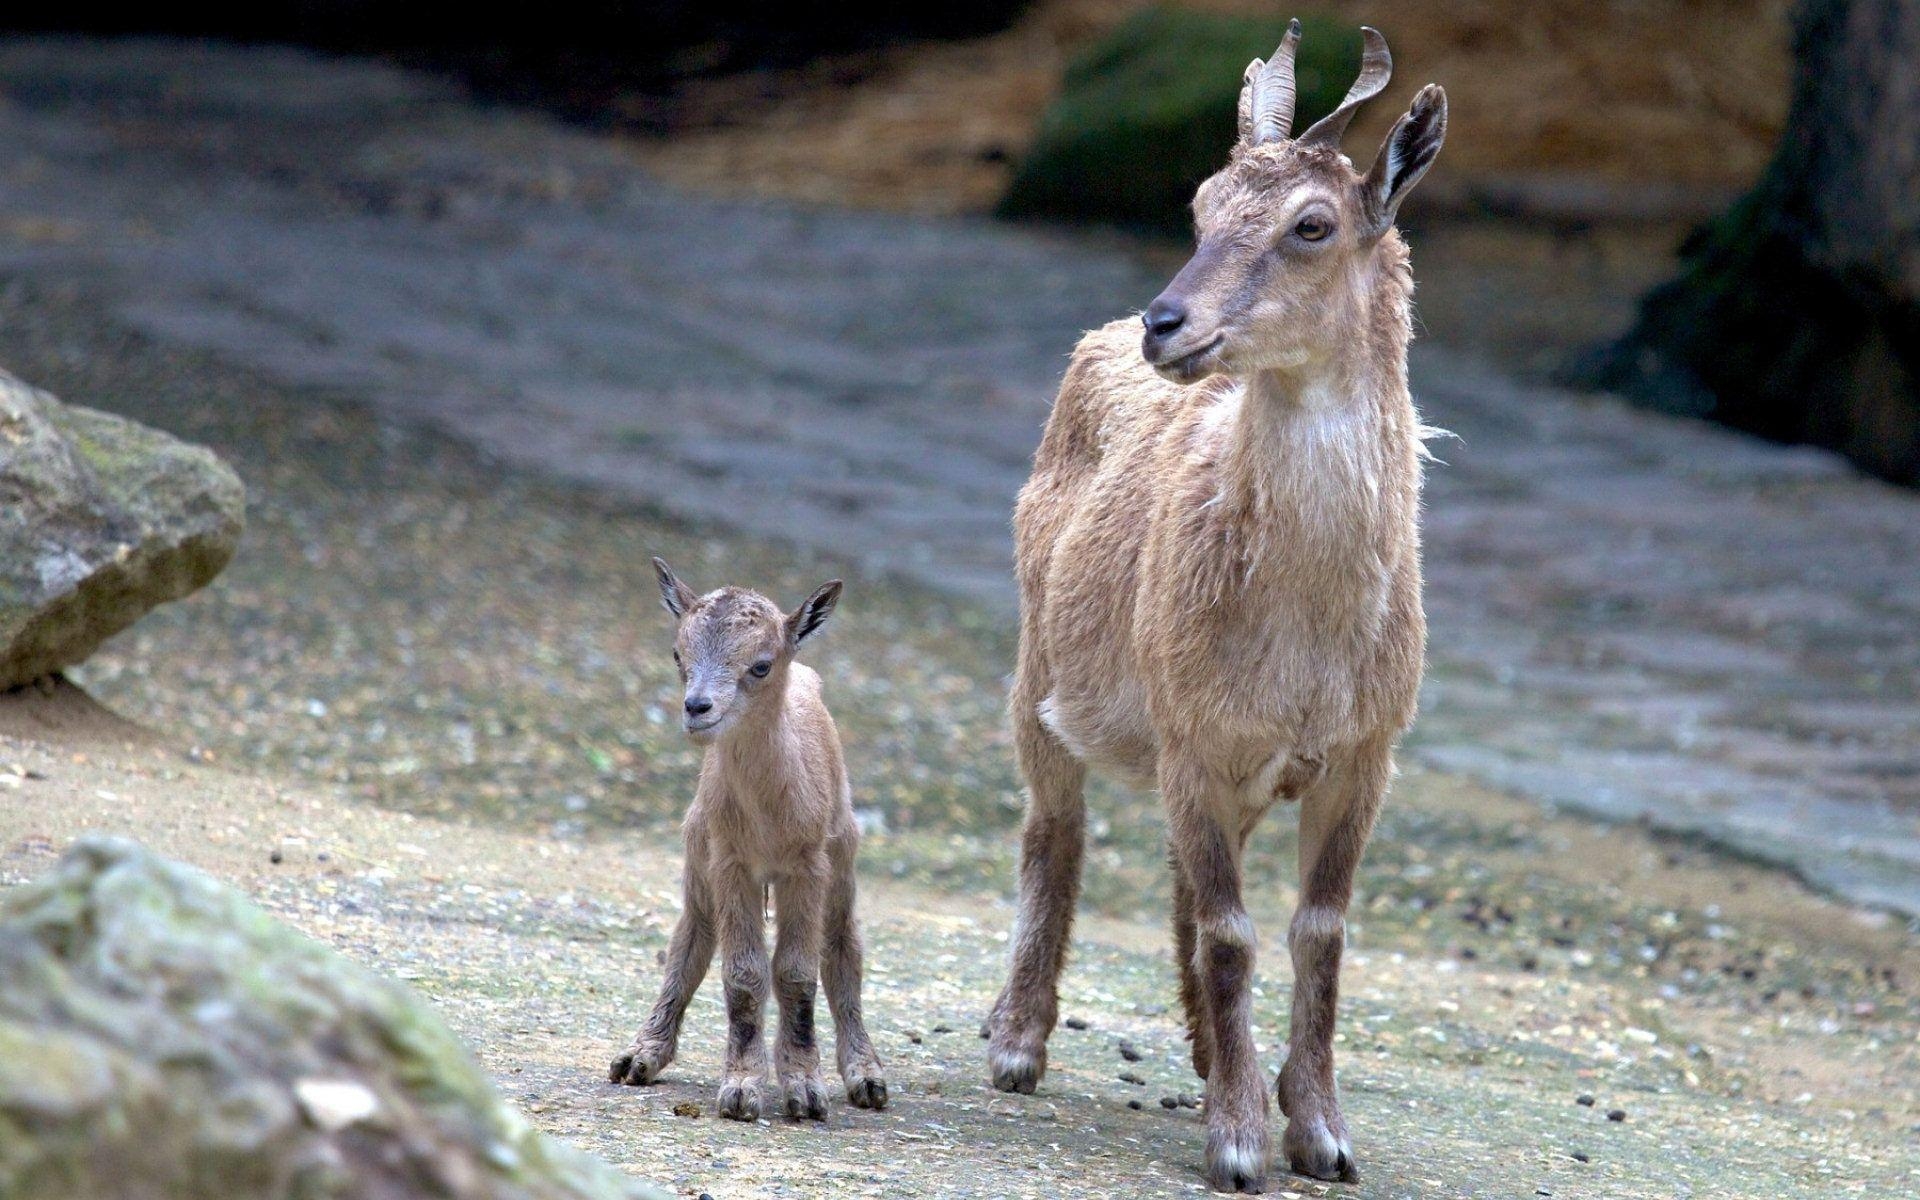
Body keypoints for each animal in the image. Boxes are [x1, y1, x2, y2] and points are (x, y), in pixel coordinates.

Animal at [610, 556, 887, 1121]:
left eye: (760, 665)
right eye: (678, 653)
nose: (697, 707)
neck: (768, 817)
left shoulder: (807, 866)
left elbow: (798, 972)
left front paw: (804, 1089)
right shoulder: (730, 862)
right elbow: (742, 974)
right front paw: (742, 1087)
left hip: (843, 857)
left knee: (843, 948)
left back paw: (866, 1076)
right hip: (698, 856)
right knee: (690, 940)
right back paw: (640, 1056)